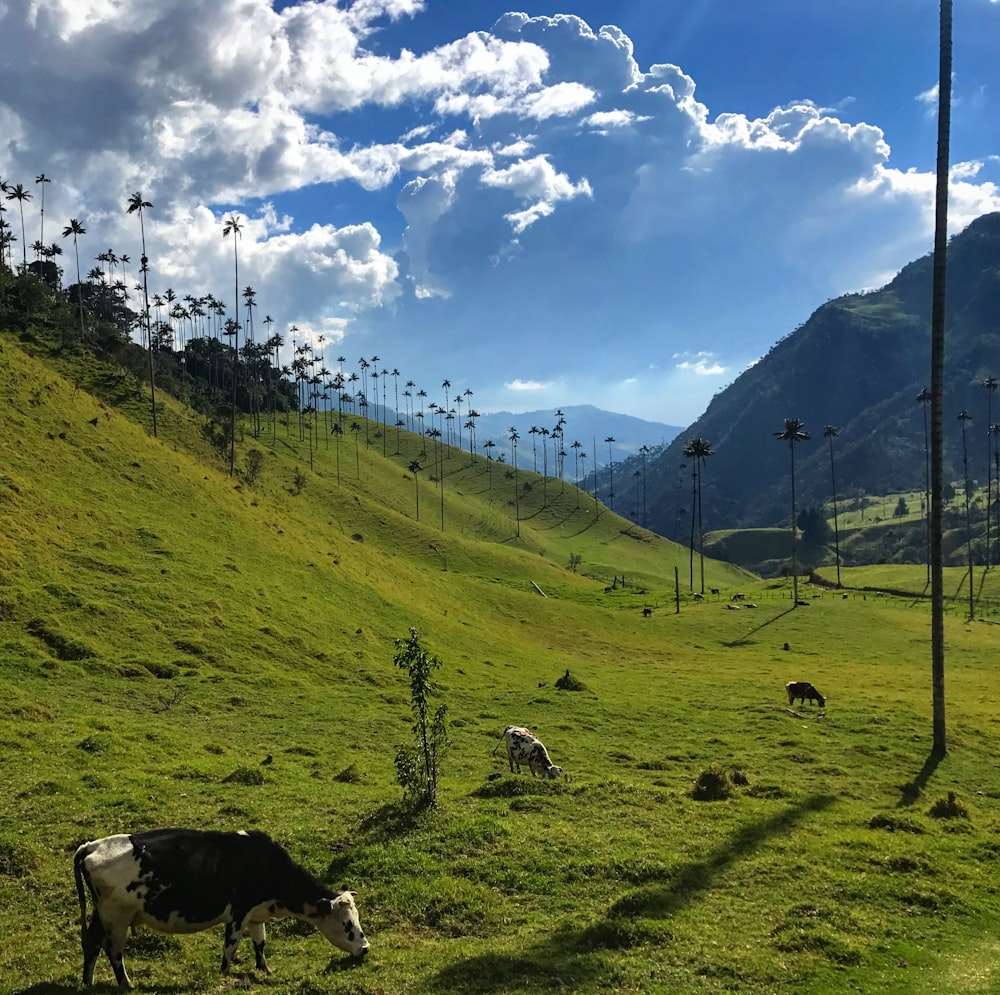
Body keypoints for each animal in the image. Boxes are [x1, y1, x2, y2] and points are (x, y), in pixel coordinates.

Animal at [74, 828, 370, 992]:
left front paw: (265, 970)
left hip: (101, 914)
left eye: (358, 919)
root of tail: (92, 845)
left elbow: (260, 942)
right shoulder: (239, 913)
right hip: (117, 918)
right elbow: (231, 946)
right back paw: (126, 984)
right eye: (346, 924)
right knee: (113, 951)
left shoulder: (256, 914)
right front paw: (226, 973)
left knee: (91, 944)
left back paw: (88, 982)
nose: (365, 948)